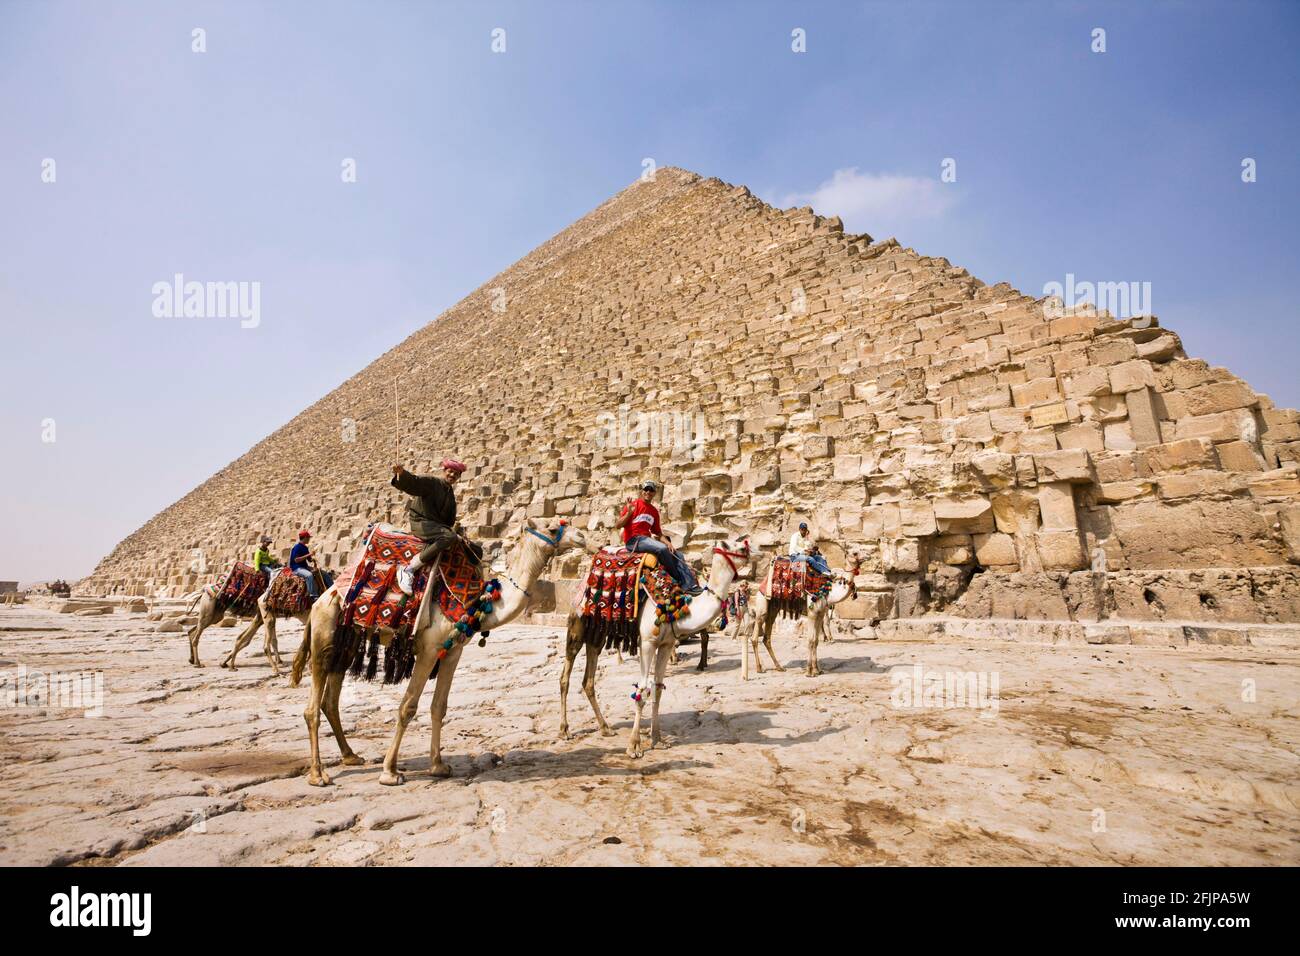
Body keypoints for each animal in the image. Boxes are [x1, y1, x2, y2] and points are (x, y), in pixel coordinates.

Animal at [295, 520, 590, 790]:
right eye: (552, 528)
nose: (582, 536)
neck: (479, 602)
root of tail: (324, 597)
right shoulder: (428, 650)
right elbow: (407, 707)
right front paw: (389, 772)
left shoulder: (453, 651)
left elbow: (439, 706)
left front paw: (438, 766)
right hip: (324, 638)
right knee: (311, 708)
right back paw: (318, 774)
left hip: (346, 643)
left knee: (330, 702)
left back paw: (350, 756)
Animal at [556, 535, 759, 749]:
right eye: (740, 547)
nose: (759, 551)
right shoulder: (647, 642)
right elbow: (642, 690)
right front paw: (634, 745)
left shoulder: (666, 644)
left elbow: (658, 689)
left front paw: (657, 739)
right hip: (577, 626)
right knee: (565, 675)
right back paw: (564, 730)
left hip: (597, 632)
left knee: (589, 678)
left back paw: (605, 728)